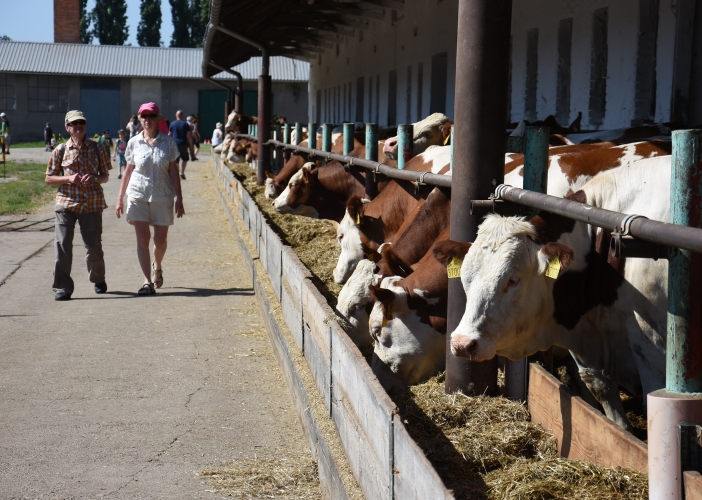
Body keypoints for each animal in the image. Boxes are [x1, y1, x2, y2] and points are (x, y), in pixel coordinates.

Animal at [442, 154, 672, 428]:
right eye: (466, 278)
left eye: (512, 280)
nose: (462, 344)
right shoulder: (590, 357)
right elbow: (612, 415)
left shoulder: (653, 347)